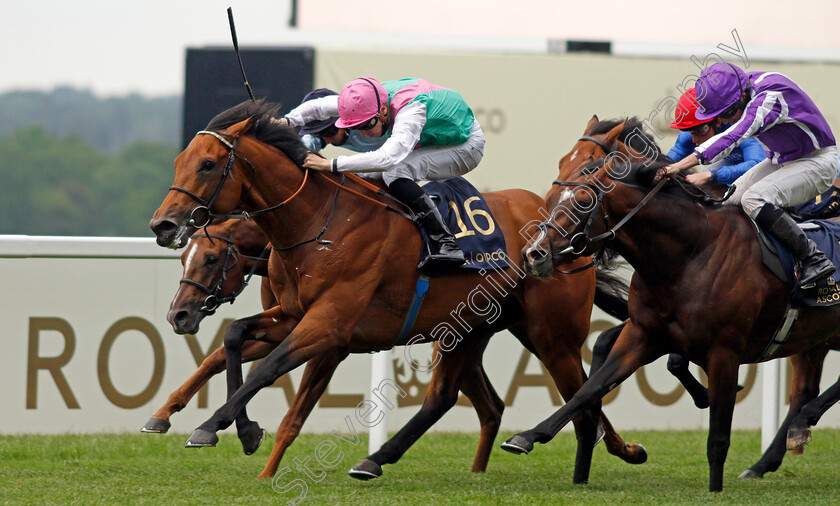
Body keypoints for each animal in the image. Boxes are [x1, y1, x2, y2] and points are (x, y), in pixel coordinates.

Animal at [148, 99, 648, 482]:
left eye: (207, 164)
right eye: (177, 162)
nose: (163, 224)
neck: (319, 224)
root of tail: (560, 233)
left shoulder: (329, 330)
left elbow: (272, 380)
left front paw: (230, 436)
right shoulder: (293, 317)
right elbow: (231, 341)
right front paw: (203, 422)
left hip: (551, 335)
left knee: (582, 391)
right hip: (469, 330)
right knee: (463, 399)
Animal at [502, 144, 840, 492]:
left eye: (583, 202)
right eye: (550, 201)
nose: (533, 254)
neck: (689, 255)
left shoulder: (724, 352)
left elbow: (718, 435)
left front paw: (715, 489)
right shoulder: (642, 335)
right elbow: (589, 389)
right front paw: (526, 437)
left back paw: (798, 426)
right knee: (807, 391)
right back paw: (786, 439)